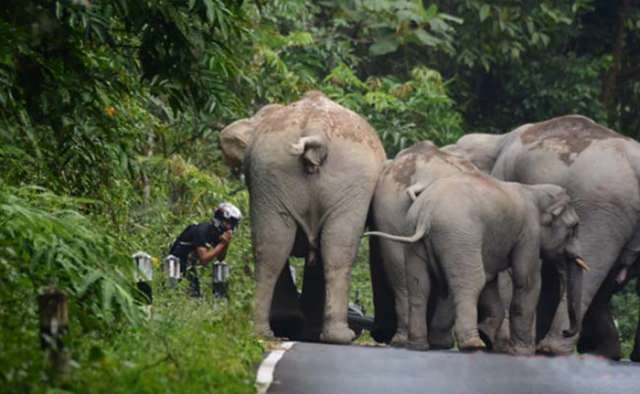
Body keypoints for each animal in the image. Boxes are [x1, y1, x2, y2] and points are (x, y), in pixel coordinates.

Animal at [219, 91, 384, 344]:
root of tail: (316, 127)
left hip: (276, 178)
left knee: (276, 246)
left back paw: (275, 330)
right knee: (323, 247)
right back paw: (323, 334)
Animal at [368, 174, 588, 356]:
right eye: (574, 227)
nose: (566, 331)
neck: (533, 190)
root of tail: (425, 213)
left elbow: (491, 280)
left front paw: (494, 339)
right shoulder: (528, 234)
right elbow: (526, 282)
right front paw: (521, 352)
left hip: (413, 235)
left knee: (420, 286)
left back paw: (420, 345)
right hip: (459, 234)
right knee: (471, 282)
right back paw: (473, 345)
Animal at [448, 114, 640, 358]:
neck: (495, 140)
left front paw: (502, 345)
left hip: (601, 209)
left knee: (592, 267)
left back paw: (553, 349)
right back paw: (601, 354)